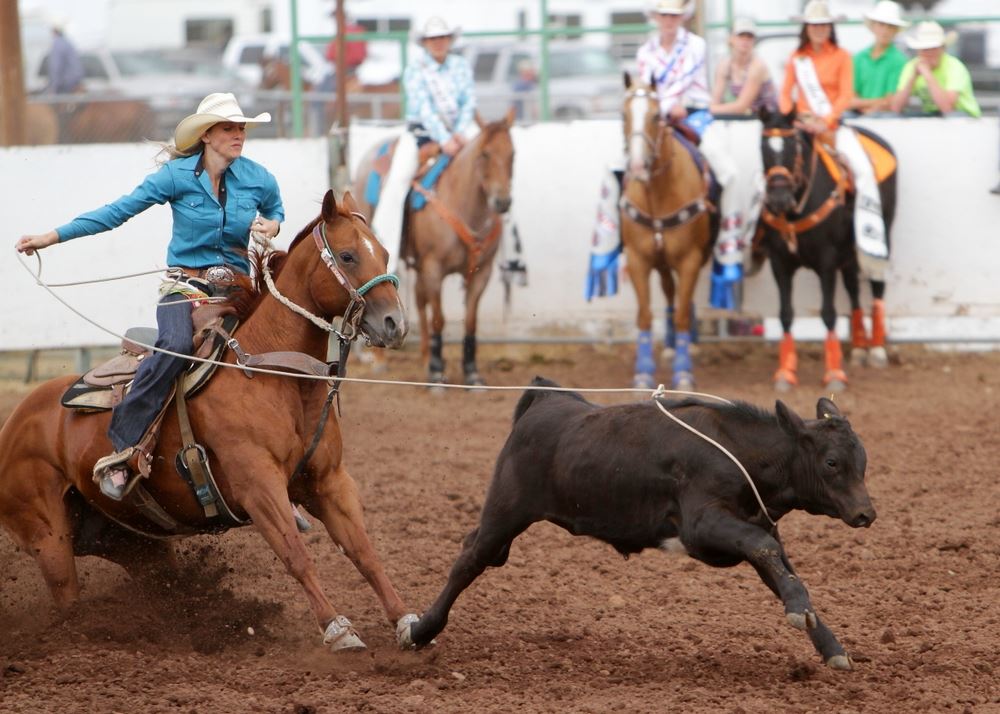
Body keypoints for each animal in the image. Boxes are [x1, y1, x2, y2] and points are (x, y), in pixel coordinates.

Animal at [0, 190, 419, 652]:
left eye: (383, 252)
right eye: (347, 255)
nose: (395, 324)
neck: (272, 374)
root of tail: (14, 422)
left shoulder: (329, 481)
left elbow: (364, 552)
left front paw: (407, 622)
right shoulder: (259, 487)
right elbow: (296, 554)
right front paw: (338, 629)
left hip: (130, 539)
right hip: (49, 540)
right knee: (67, 599)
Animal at [352, 110, 515, 385]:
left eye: (513, 153)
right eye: (484, 153)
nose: (502, 202)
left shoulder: (482, 272)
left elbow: (471, 321)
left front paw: (471, 373)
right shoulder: (434, 269)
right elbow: (439, 318)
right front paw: (438, 373)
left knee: (419, 301)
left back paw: (425, 357)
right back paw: (382, 360)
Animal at [400, 377, 876, 669]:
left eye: (862, 461)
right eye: (832, 462)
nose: (866, 513)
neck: (741, 451)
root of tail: (549, 400)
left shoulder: (754, 527)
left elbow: (780, 568)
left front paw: (831, 647)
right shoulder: (702, 525)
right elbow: (766, 550)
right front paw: (801, 615)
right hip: (505, 510)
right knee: (469, 560)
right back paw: (420, 630)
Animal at [620, 76, 719, 390]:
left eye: (656, 116)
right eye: (623, 114)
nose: (638, 165)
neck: (657, 195)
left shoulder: (689, 260)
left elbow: (683, 316)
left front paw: (684, 373)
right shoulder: (637, 259)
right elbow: (645, 316)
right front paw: (643, 372)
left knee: (683, 302)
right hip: (662, 262)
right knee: (669, 293)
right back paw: (670, 347)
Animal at [755, 108, 897, 391]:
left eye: (794, 146)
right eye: (763, 148)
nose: (778, 199)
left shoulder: (827, 261)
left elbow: (828, 313)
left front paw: (834, 374)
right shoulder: (779, 262)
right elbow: (785, 314)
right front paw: (785, 373)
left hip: (882, 235)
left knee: (877, 285)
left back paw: (877, 350)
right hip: (849, 253)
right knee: (853, 288)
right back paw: (859, 348)